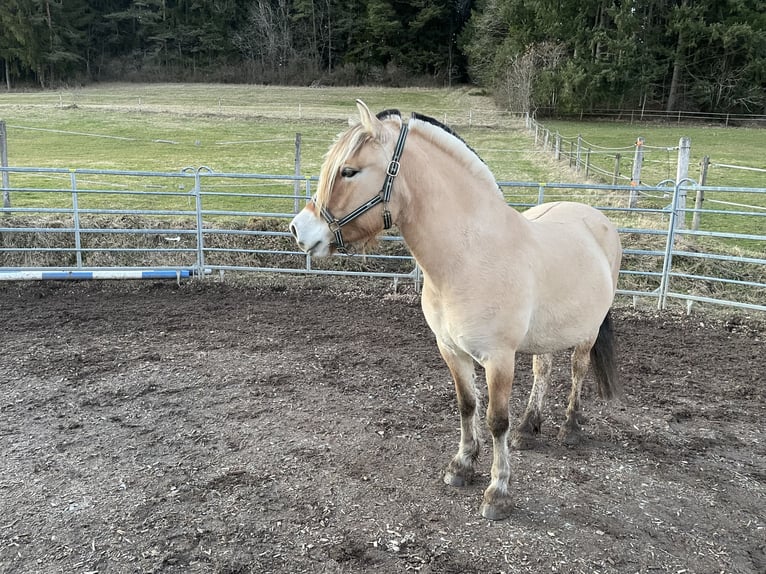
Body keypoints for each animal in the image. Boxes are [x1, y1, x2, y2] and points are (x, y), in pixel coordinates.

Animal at [289, 100, 623, 520]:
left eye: (349, 171)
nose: (298, 230)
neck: (467, 257)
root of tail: (596, 219)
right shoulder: (450, 350)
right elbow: (467, 406)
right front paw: (462, 465)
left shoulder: (499, 358)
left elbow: (496, 420)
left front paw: (498, 491)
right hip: (546, 335)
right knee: (543, 370)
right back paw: (529, 428)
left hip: (586, 334)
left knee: (578, 372)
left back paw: (571, 428)